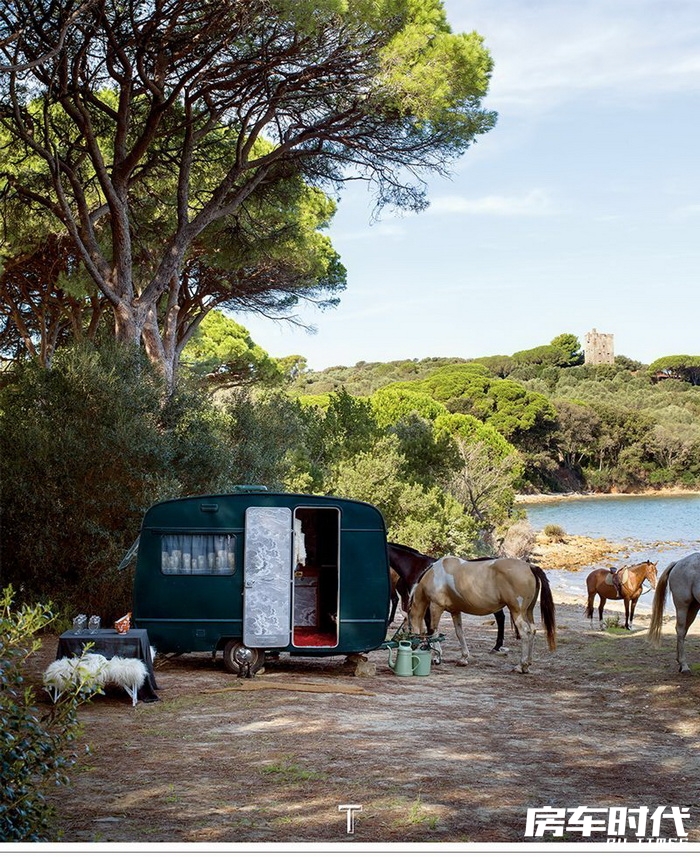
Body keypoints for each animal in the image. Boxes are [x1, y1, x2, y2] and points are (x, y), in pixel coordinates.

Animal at [408, 560, 556, 672]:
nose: (411, 648)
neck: (435, 575)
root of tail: (530, 567)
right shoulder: (455, 611)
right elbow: (459, 633)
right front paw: (463, 659)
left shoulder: (436, 607)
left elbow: (433, 631)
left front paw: (436, 657)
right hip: (528, 612)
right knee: (532, 631)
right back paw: (527, 665)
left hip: (517, 611)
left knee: (525, 633)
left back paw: (520, 666)